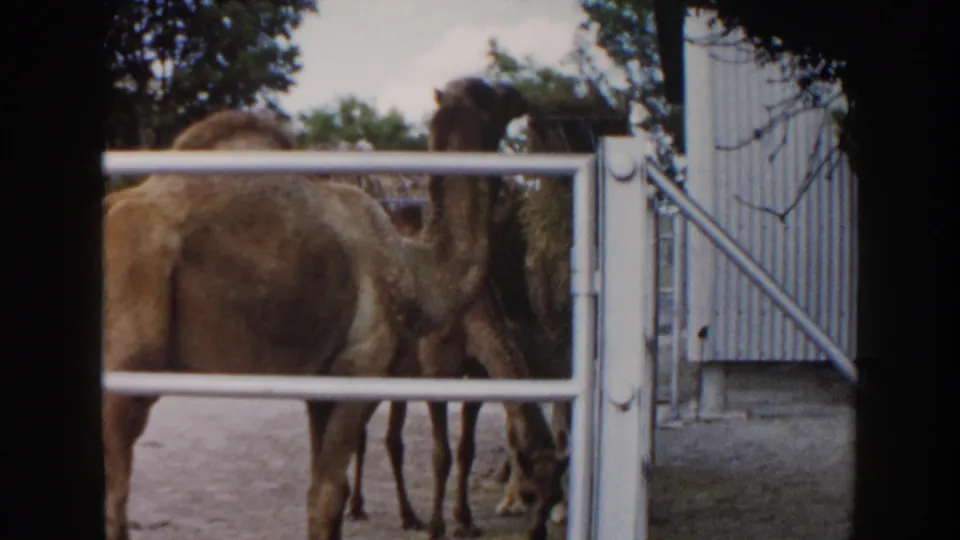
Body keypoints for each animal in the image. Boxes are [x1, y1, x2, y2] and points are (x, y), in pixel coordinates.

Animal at [101, 92, 511, 540]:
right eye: (493, 98)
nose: (521, 100)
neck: (409, 267)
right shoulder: (361, 366)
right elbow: (328, 495)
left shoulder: (321, 384)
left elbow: (327, 487)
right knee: (115, 498)